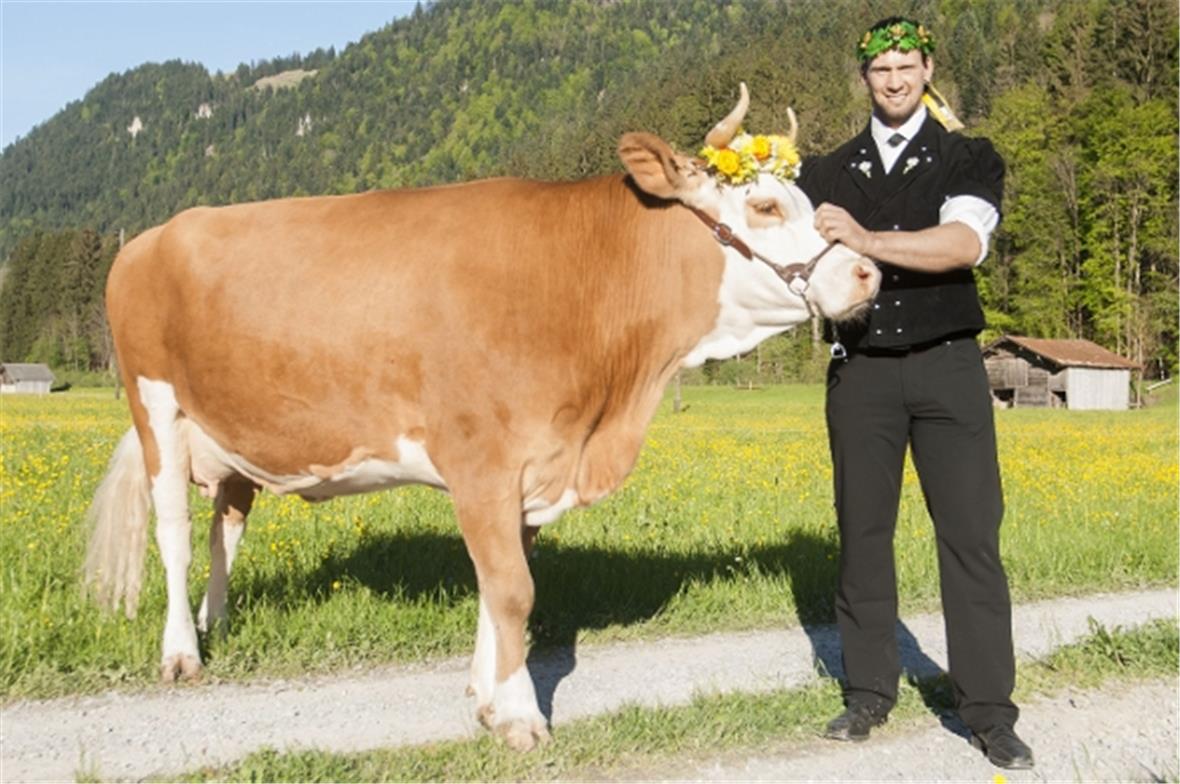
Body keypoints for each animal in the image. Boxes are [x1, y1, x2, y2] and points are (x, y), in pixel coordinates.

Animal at [85, 84, 880, 751]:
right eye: (765, 208)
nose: (867, 271)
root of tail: (150, 237)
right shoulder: (483, 461)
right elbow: (513, 590)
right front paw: (521, 715)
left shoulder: (531, 464)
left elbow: (500, 585)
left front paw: (488, 696)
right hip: (156, 407)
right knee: (174, 532)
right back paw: (181, 652)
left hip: (235, 437)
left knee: (226, 525)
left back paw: (215, 621)